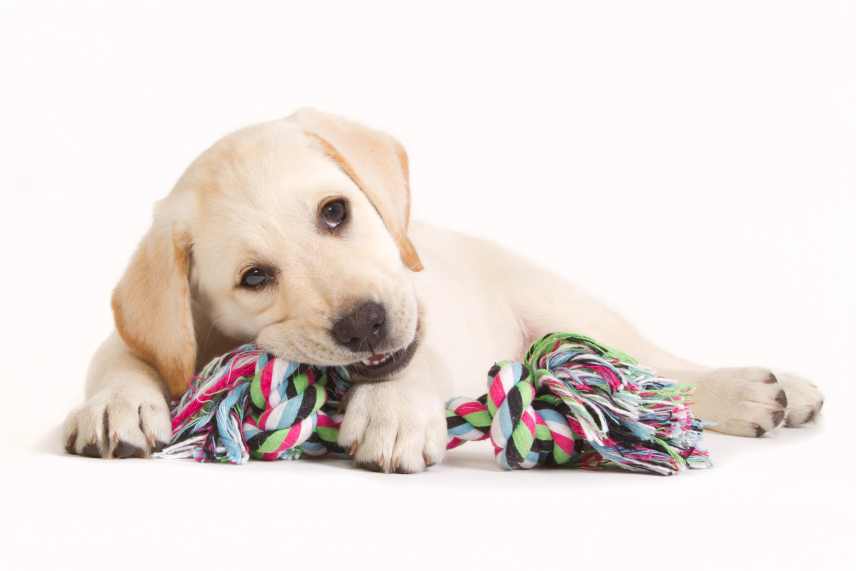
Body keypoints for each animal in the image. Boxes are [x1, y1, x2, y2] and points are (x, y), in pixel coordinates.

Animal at [65, 109, 824, 472]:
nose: (366, 323)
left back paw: (760, 389)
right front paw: (117, 406)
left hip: (562, 306)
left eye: (335, 212)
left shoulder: (424, 311)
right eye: (255, 278)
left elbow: (421, 352)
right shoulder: (155, 332)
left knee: (656, 371)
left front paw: (394, 409)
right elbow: (121, 353)